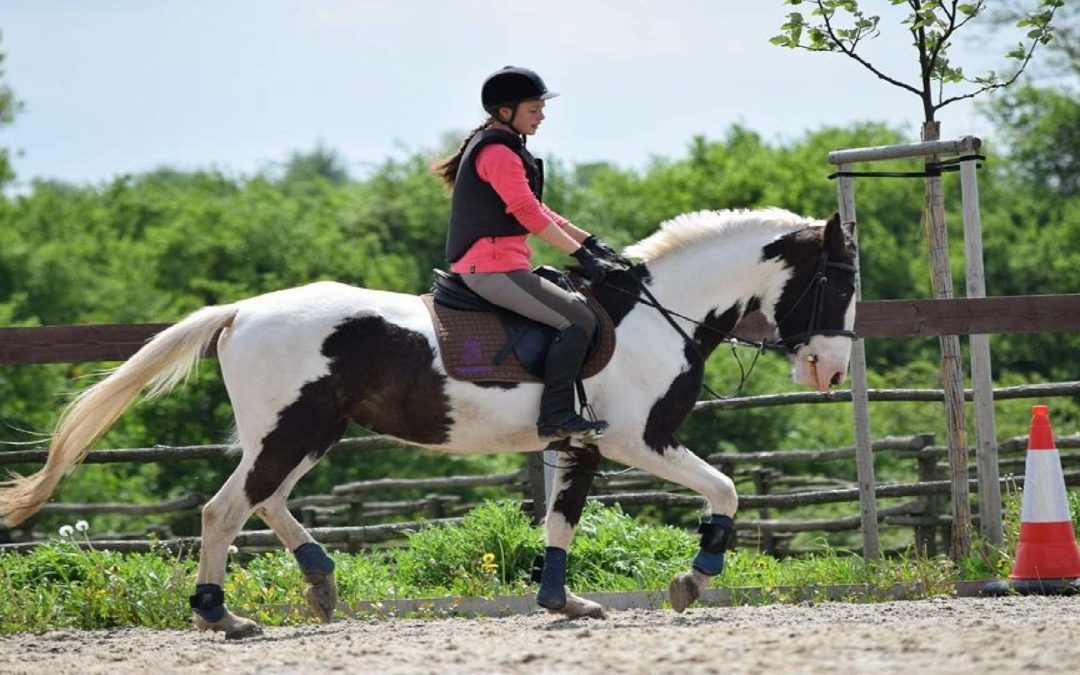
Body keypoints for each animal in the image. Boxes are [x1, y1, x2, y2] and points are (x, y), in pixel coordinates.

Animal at [2, 205, 859, 635]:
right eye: (837, 283)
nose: (831, 371)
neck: (654, 314)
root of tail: (241, 310)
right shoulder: (635, 438)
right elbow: (725, 492)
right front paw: (692, 577)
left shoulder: (579, 441)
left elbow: (562, 519)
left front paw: (563, 602)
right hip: (293, 428)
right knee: (226, 508)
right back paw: (225, 615)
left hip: (313, 431)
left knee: (264, 499)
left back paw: (320, 579)